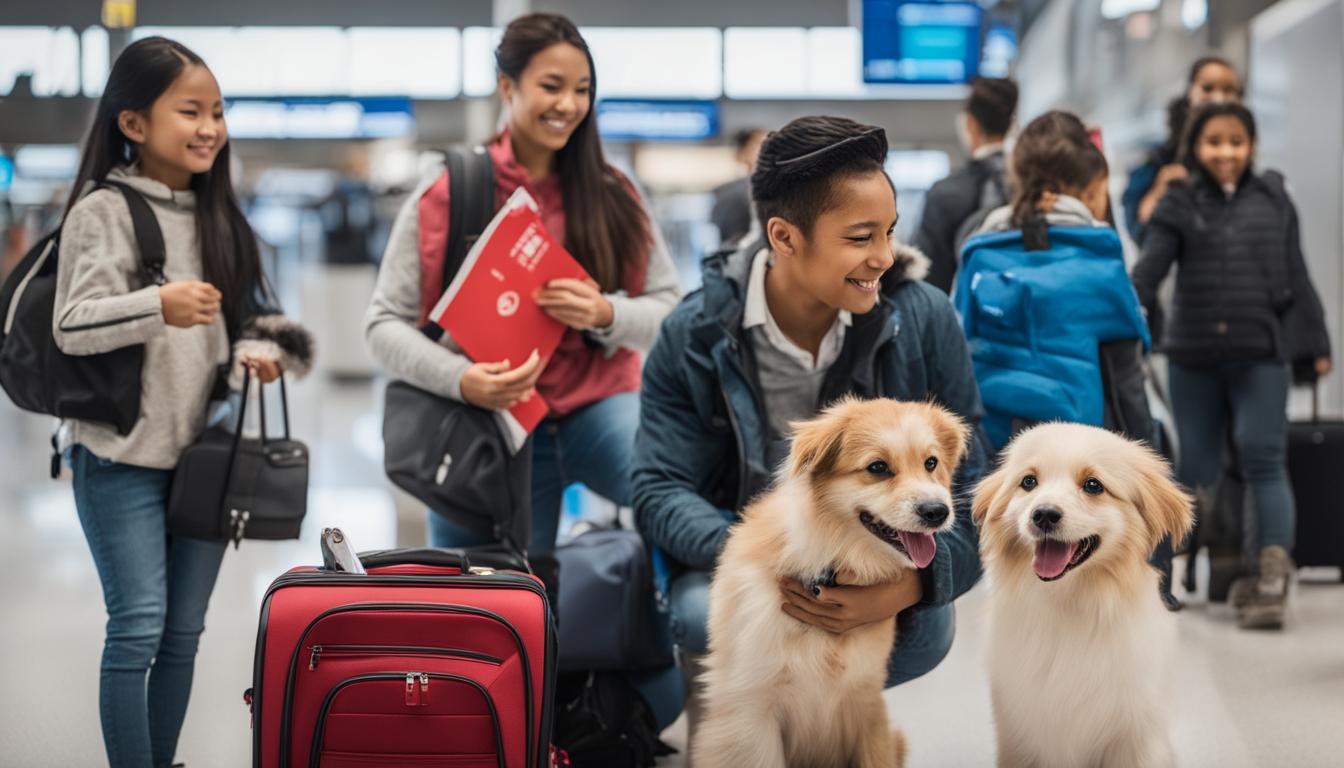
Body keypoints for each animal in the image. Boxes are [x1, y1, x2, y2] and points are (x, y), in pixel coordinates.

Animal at [693, 400, 967, 763]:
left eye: (931, 463)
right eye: (877, 467)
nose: (938, 512)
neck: (829, 557)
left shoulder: (866, 703)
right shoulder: (752, 716)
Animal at [973, 425, 1193, 763]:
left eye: (1093, 485)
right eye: (1028, 482)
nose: (1043, 514)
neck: (1069, 604)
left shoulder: (1135, 740)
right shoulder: (1019, 738)